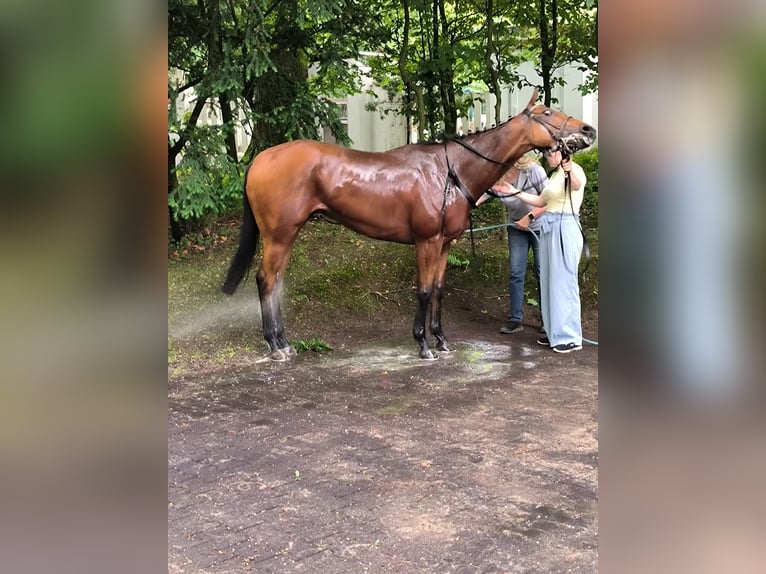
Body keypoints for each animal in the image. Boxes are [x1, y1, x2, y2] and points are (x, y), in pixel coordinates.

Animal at [222, 89, 596, 360]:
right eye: (546, 113)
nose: (587, 130)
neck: (450, 171)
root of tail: (262, 158)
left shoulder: (445, 243)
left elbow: (440, 291)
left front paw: (441, 339)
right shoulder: (426, 241)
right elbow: (424, 291)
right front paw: (424, 344)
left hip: (287, 235)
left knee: (275, 283)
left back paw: (283, 341)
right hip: (279, 235)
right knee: (266, 281)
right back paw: (275, 345)